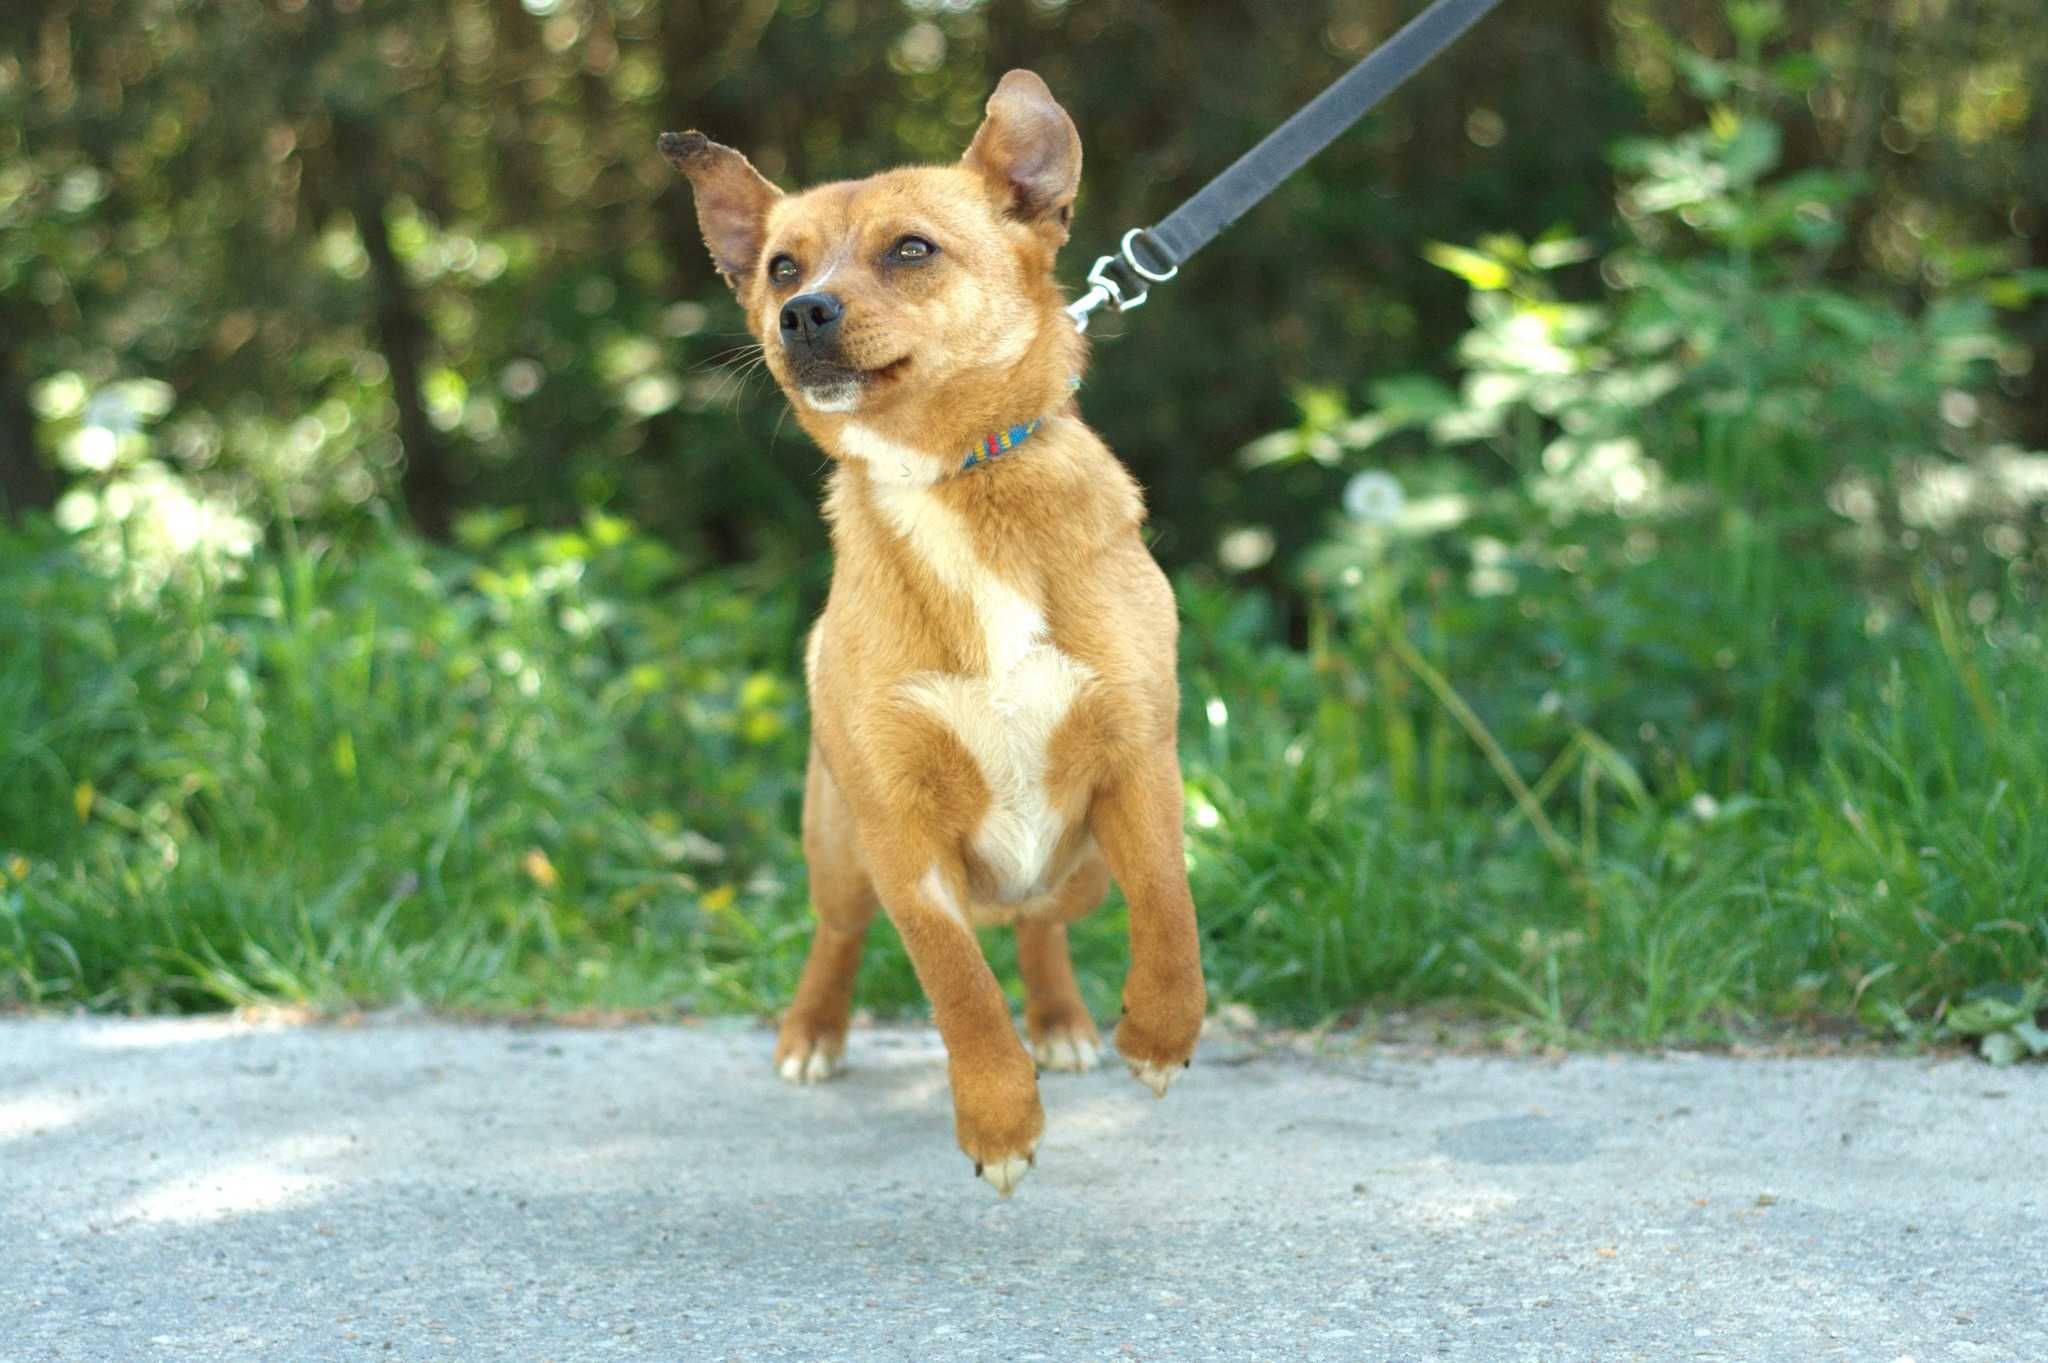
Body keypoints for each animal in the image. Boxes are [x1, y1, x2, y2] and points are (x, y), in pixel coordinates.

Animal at [659, 69, 1196, 1186]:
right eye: (780, 265)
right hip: (837, 847)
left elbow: (1169, 908)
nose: (799, 311)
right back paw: (812, 1031)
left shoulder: (1139, 763)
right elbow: (958, 988)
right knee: (839, 935)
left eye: (910, 249)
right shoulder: (900, 837)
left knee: (1040, 921)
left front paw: (1161, 1035)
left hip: (1080, 874)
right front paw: (998, 1120)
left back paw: (1063, 1018)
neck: (947, 479)